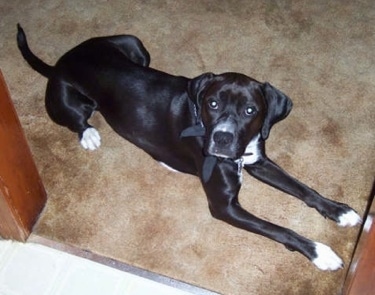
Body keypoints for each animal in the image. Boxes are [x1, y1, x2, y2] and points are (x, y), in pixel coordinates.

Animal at [16, 24, 362, 272]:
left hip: (135, 44)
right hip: (65, 99)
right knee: (77, 119)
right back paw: (88, 134)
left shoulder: (256, 159)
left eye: (250, 110)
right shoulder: (224, 206)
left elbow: (303, 188)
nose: (222, 139)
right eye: (212, 103)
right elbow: (279, 229)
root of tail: (60, 61)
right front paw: (320, 253)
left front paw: (339, 210)